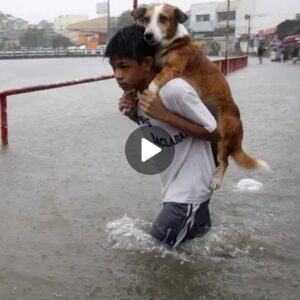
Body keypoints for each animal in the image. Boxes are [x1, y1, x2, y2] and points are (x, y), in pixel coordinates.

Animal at [131, 2, 270, 190]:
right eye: (146, 19)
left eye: (163, 19)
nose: (148, 35)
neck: (169, 43)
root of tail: (239, 122)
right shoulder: (158, 66)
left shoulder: (173, 68)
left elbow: (155, 82)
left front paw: (149, 94)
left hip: (223, 137)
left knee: (225, 162)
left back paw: (217, 180)